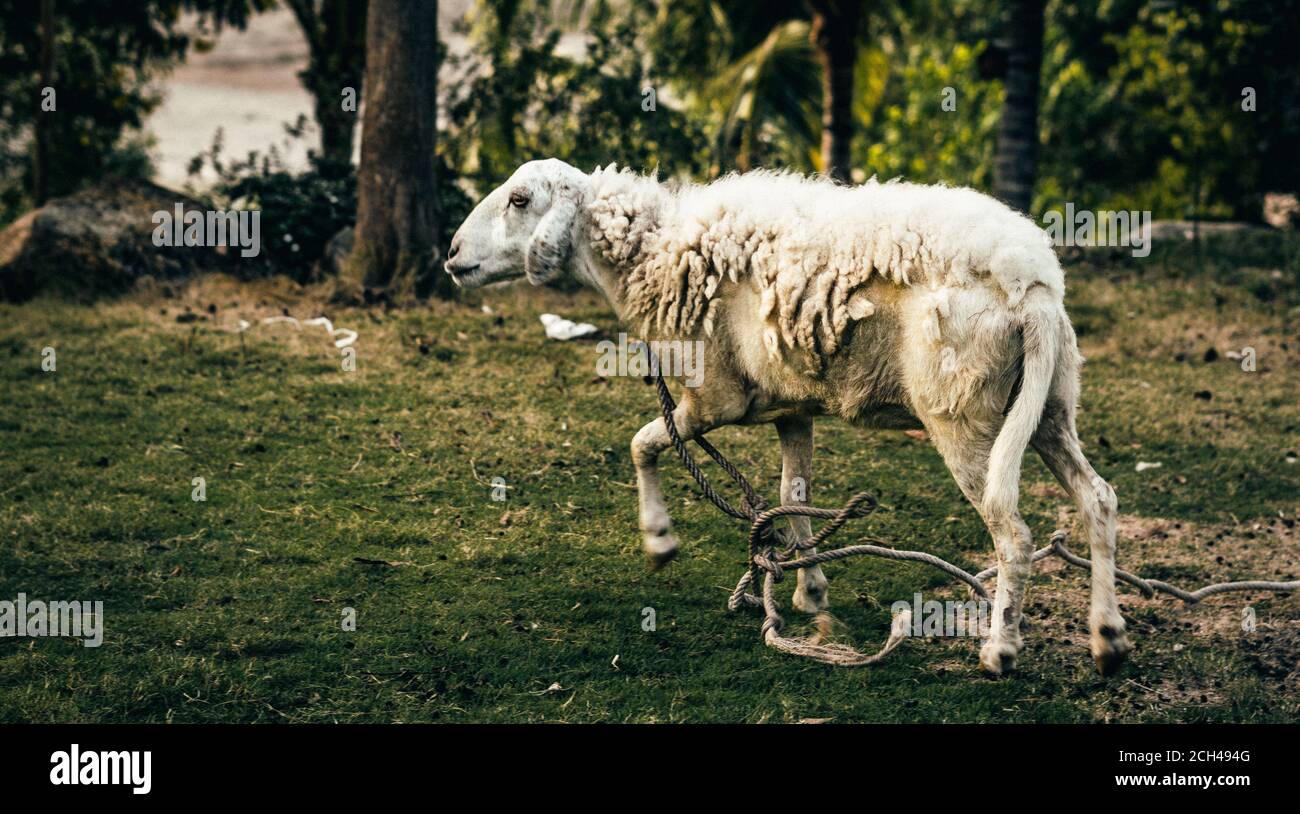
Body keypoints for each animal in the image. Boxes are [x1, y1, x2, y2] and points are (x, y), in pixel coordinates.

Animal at [445, 158, 1131, 677]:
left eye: (520, 199)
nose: (451, 255)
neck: (653, 254)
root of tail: (1031, 286)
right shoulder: (791, 406)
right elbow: (790, 495)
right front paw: (808, 591)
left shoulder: (715, 398)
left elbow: (642, 444)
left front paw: (660, 540)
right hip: (1048, 406)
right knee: (1097, 498)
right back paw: (1107, 638)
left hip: (961, 413)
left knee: (1011, 531)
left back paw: (1000, 650)